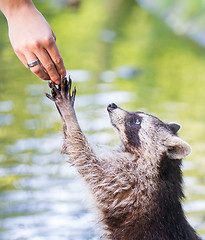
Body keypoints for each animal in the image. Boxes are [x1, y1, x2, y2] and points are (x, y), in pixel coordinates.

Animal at [45, 77, 201, 240]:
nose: (112, 105)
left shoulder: (128, 179)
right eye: (138, 113)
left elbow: (84, 158)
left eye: (137, 121)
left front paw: (69, 115)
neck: (163, 169)